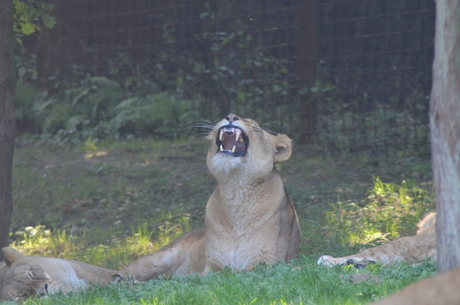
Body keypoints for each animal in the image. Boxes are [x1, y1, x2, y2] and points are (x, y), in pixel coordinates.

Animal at [122, 114, 302, 280]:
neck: (236, 191)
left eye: (254, 125)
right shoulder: (213, 265)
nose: (231, 116)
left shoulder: (266, 264)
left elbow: (233, 274)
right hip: (160, 258)